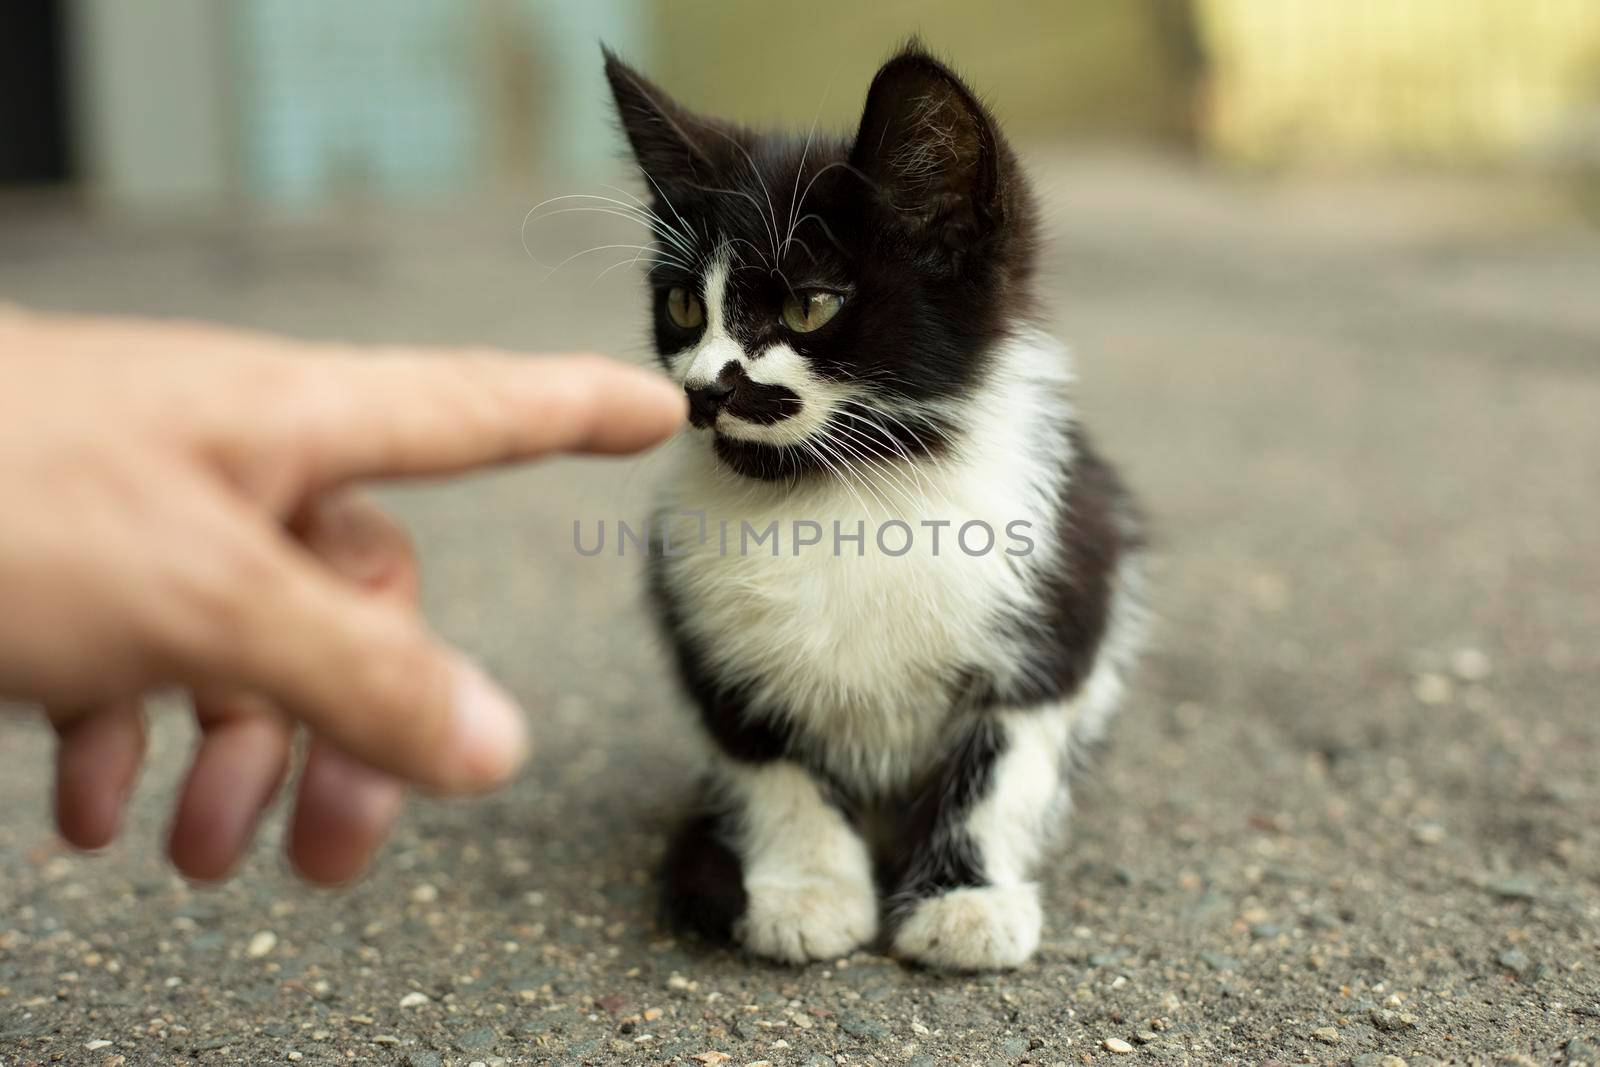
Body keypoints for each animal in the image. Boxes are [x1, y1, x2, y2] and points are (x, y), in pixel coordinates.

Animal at [601, 45, 1152, 972]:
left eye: (810, 305)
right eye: (683, 305)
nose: (704, 391)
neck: (845, 488)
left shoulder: (1064, 593)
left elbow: (998, 766)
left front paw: (966, 897)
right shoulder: (706, 634)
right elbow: (772, 766)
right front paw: (807, 889)